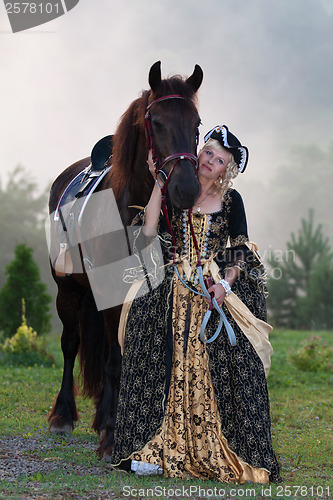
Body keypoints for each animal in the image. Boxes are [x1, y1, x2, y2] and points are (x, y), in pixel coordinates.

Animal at [46, 60, 202, 458]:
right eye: (157, 122)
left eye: (197, 124)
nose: (186, 188)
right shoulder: (111, 292)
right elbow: (115, 359)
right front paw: (113, 436)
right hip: (68, 291)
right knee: (71, 344)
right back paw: (64, 417)